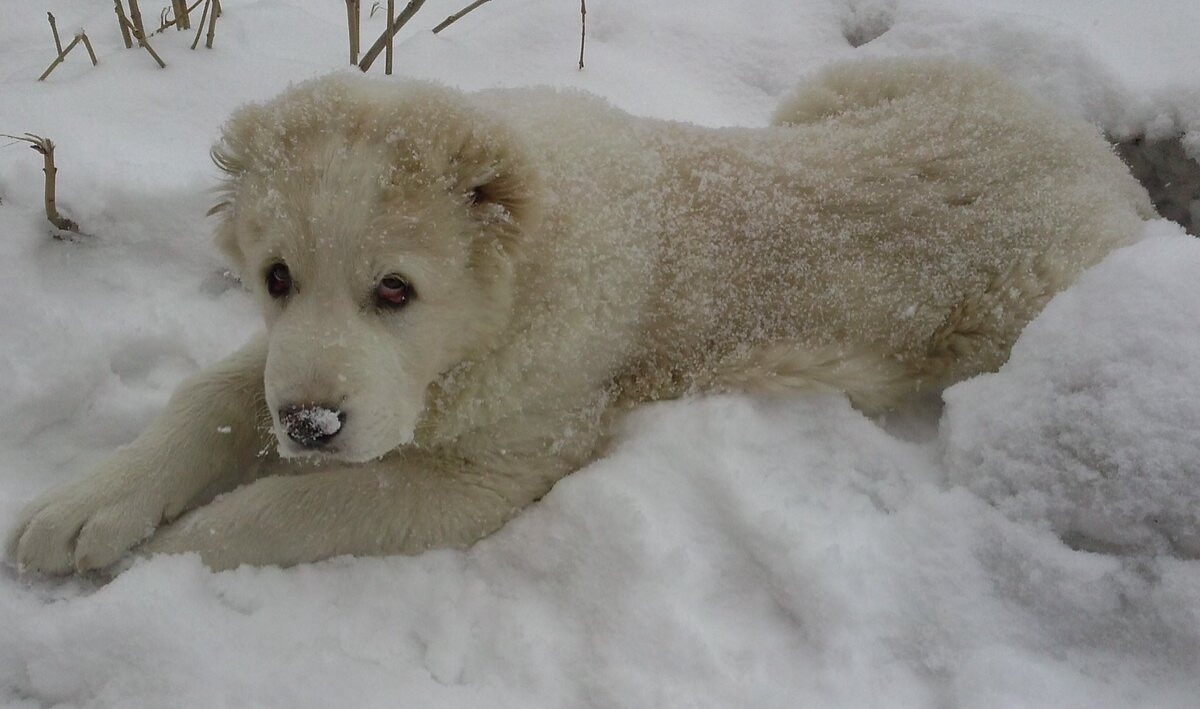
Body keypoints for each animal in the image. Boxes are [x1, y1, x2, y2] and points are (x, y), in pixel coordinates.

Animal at [7, 58, 1152, 573]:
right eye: (276, 276)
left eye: (397, 290)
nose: (313, 426)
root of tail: (1102, 159)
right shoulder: (304, 364)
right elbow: (213, 392)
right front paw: (86, 505)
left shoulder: (486, 471)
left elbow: (290, 510)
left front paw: (158, 560)